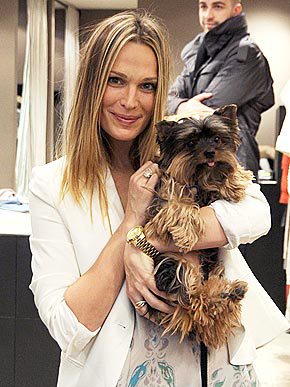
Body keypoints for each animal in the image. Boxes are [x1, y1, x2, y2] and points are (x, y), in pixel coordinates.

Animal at [144, 104, 253, 350]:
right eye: (191, 143)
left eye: (217, 139)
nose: (210, 152)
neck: (200, 177)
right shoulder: (166, 193)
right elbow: (179, 204)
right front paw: (185, 234)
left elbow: (225, 173)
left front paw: (236, 181)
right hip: (175, 265)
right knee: (191, 299)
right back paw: (223, 295)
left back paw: (229, 294)